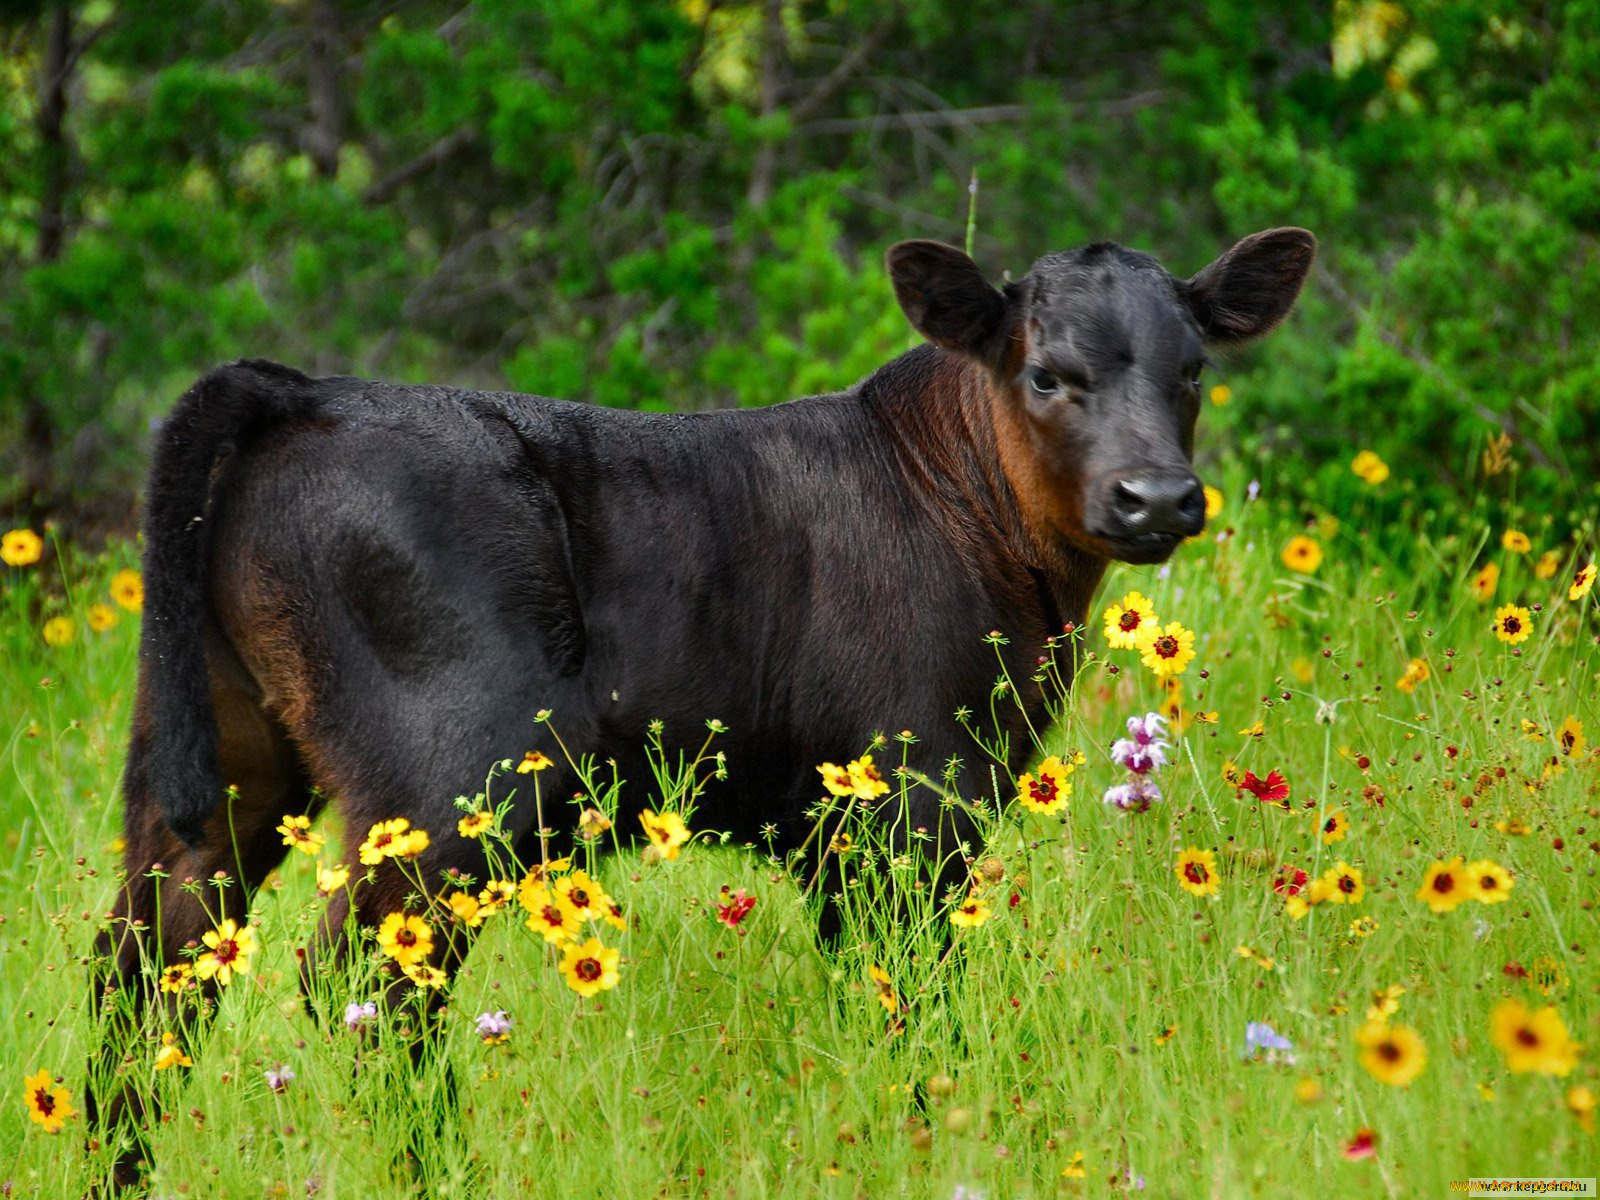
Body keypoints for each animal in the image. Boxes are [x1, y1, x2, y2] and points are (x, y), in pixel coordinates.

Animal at [90, 225, 1312, 1184]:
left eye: (1193, 369)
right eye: (1047, 374)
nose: (1156, 497)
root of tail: (303, 388)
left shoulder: (835, 831)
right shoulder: (916, 798)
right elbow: (916, 991)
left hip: (225, 767)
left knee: (149, 970)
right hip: (451, 778)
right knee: (369, 978)